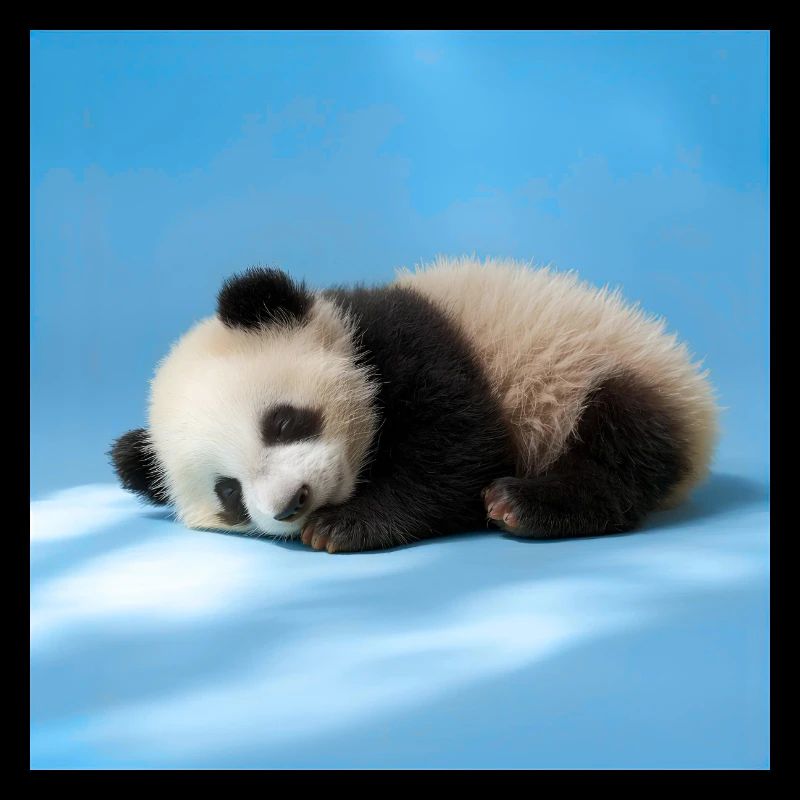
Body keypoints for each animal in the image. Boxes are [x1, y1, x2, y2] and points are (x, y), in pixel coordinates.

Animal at [110, 256, 718, 553]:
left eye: (282, 422)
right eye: (228, 493)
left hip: (601, 369)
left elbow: (459, 446)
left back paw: (524, 503)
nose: (291, 504)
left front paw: (344, 526)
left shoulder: (413, 341)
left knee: (622, 442)